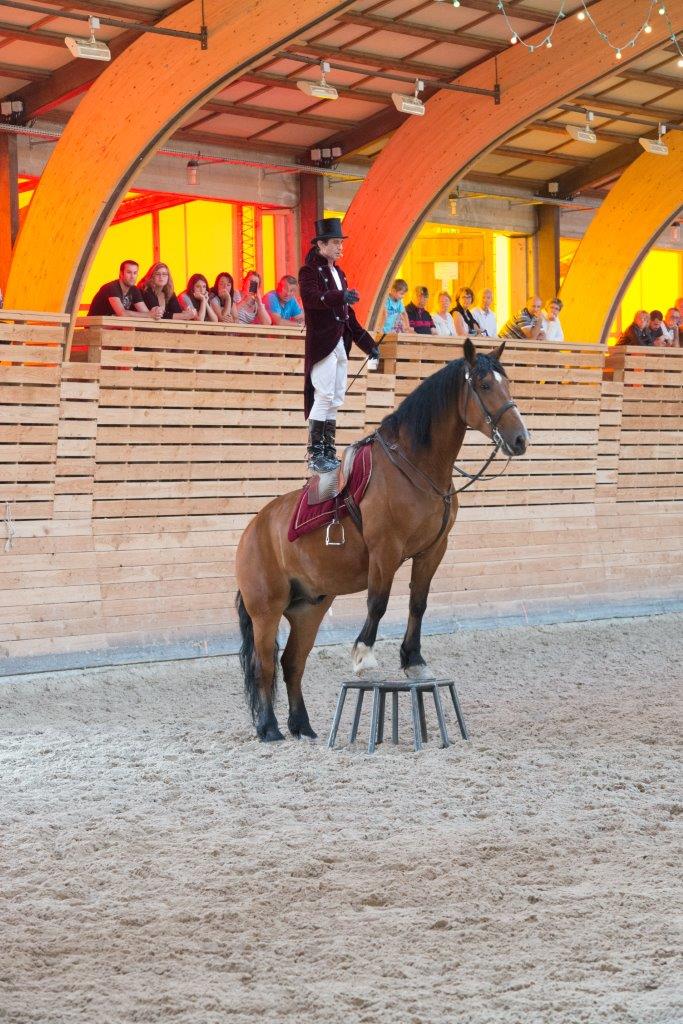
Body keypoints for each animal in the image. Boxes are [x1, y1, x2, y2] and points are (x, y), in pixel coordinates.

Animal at [235, 339, 528, 741]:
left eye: (507, 383)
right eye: (484, 385)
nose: (520, 439)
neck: (416, 468)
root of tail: (253, 530)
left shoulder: (432, 551)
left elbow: (418, 604)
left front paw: (414, 661)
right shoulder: (385, 550)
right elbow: (378, 602)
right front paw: (364, 656)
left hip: (308, 610)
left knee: (292, 662)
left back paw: (302, 726)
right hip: (266, 610)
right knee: (263, 664)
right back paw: (269, 728)